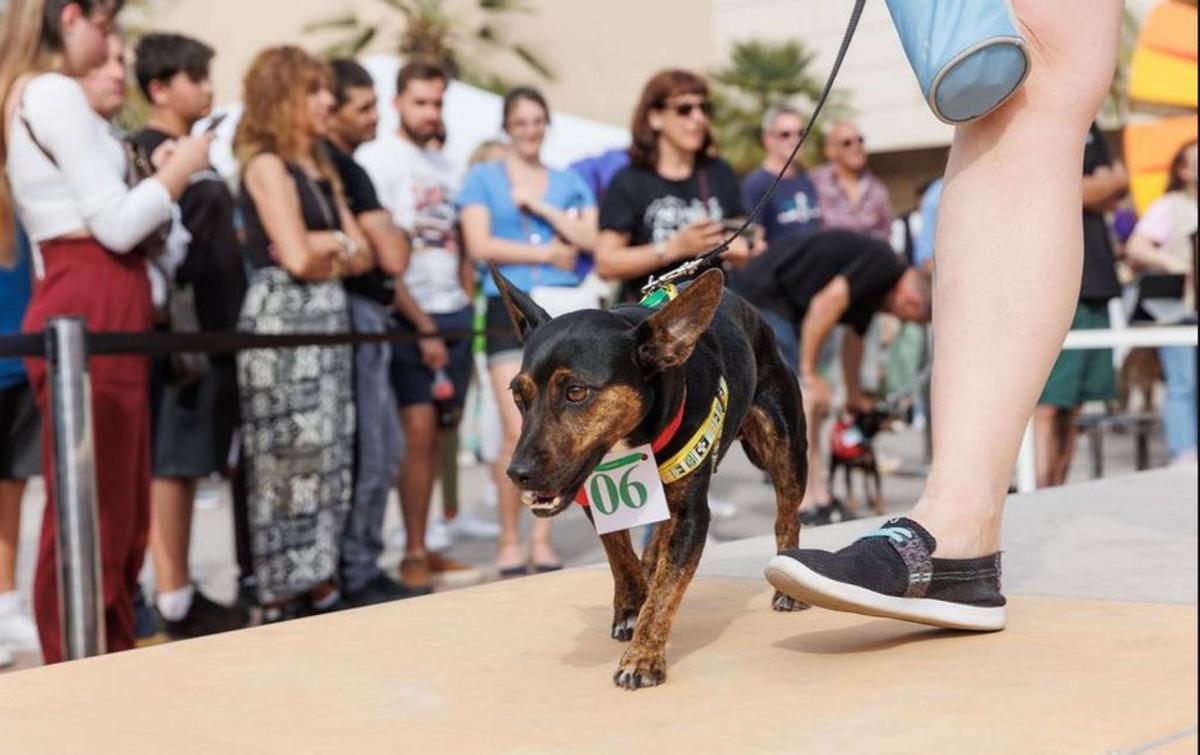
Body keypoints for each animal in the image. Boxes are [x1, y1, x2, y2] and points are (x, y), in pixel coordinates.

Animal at [492, 265, 811, 691]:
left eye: (576, 392)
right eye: (517, 395)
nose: (518, 473)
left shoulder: (693, 515)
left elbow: (667, 588)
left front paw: (643, 656)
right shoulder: (599, 498)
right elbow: (621, 556)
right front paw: (631, 607)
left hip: (784, 447)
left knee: (787, 516)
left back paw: (788, 581)